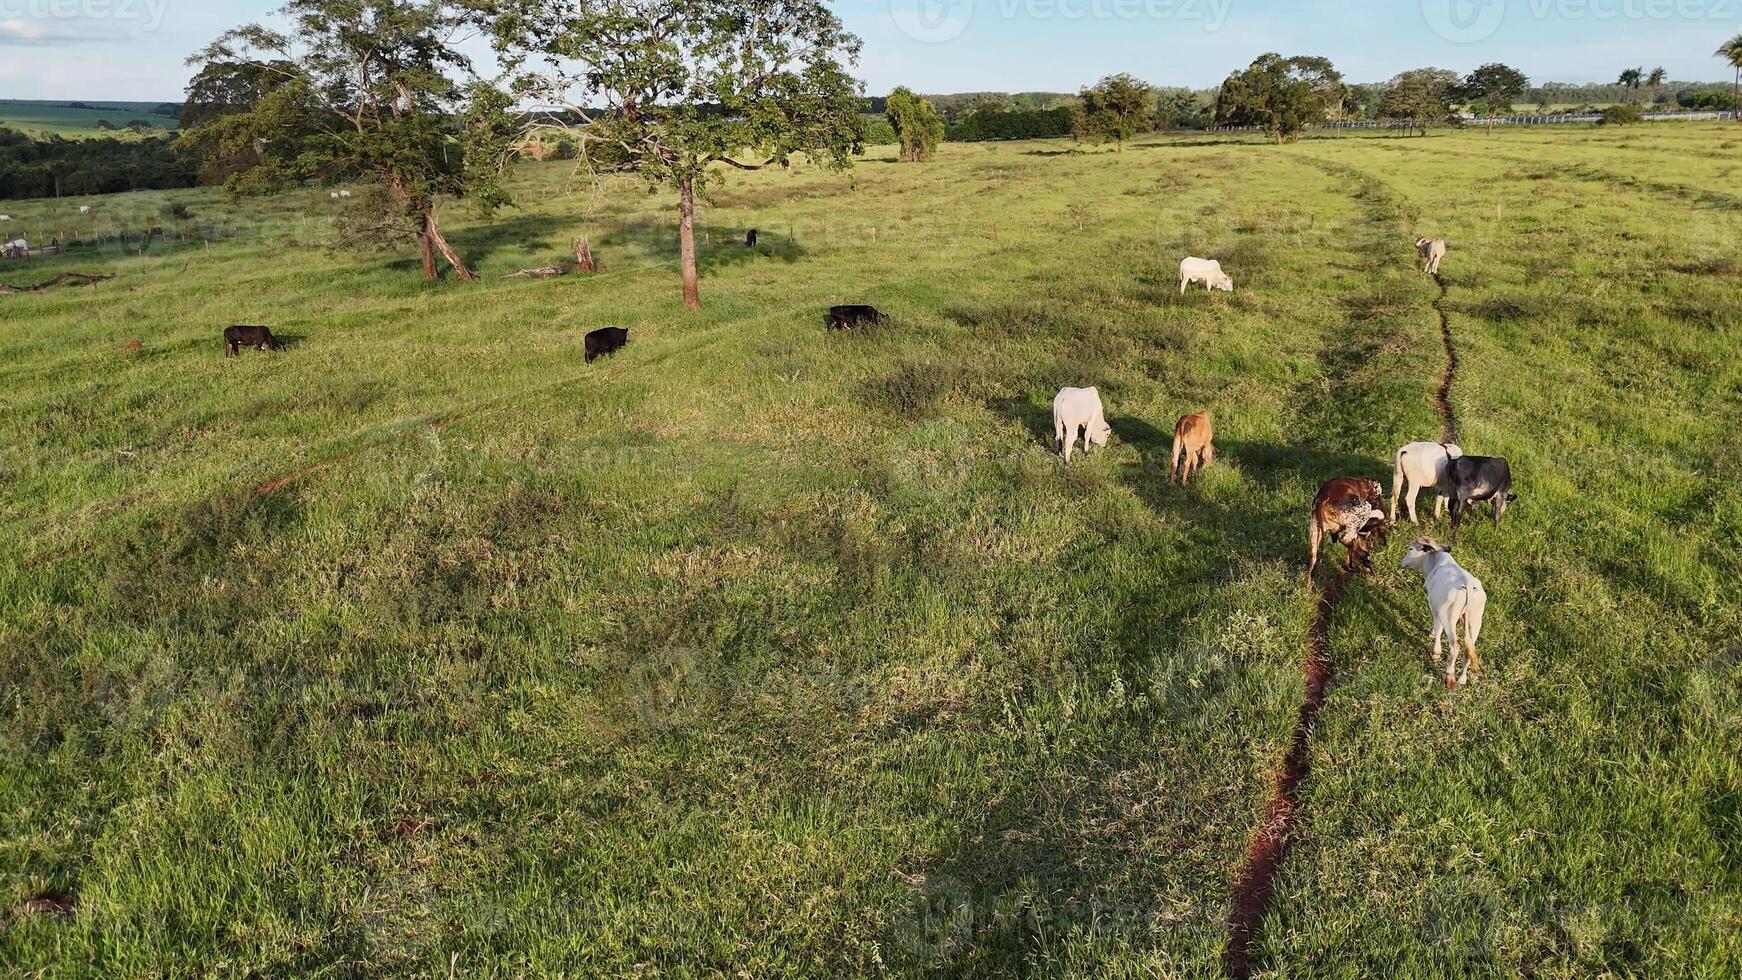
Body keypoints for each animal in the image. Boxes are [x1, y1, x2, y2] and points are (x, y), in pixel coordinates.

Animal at [1393, 536, 1491, 689]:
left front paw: (1436, 651)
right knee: (1469, 650)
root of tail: (1468, 584)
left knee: (1455, 645)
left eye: (1410, 548)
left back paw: (1449, 676)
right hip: (1475, 622)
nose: (1402, 562)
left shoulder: (1435, 607)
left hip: (1449, 617)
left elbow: (1437, 628)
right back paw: (1462, 679)